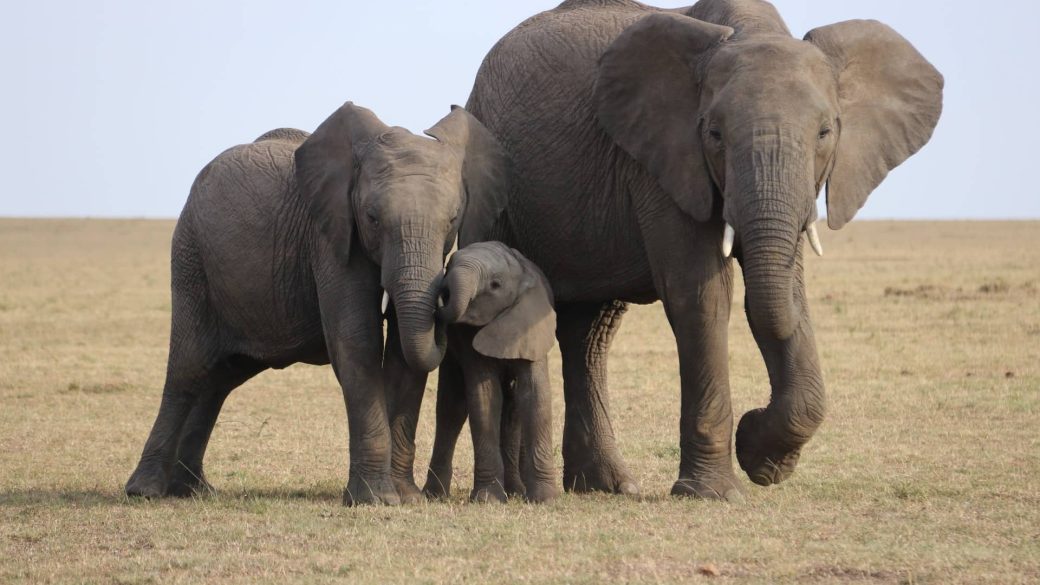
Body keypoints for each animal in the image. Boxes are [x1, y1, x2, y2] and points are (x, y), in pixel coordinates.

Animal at [124, 102, 510, 505]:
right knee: (189, 369)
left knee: (219, 378)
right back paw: (146, 491)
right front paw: (376, 499)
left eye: (452, 220)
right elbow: (357, 341)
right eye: (372, 219)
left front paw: (406, 498)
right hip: (191, 257)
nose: (447, 298)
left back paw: (193, 490)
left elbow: (403, 355)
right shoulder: (329, 237)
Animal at [422, 241, 560, 504]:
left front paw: (544, 499)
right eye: (449, 265)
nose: (442, 291)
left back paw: (516, 491)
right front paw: (487, 500)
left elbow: (535, 395)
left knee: (512, 409)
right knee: (451, 408)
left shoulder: (531, 326)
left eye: (495, 285)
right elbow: (485, 398)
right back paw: (434, 495)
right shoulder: (466, 336)